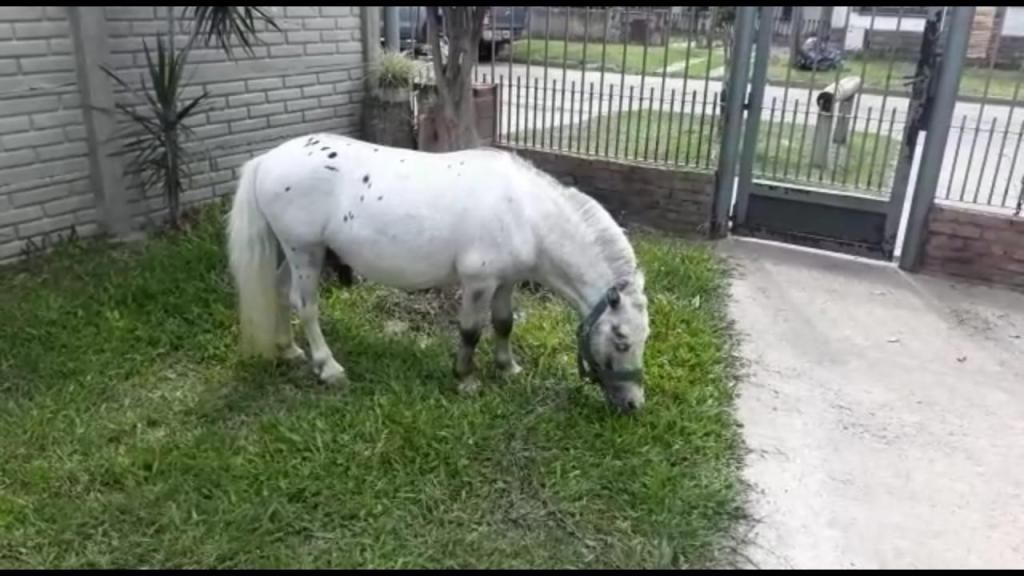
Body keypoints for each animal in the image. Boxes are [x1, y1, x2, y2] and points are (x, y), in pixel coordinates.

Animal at [228, 133, 651, 412]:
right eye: (621, 339)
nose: (634, 403)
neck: (526, 213)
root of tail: (268, 159)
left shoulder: (506, 281)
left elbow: (504, 323)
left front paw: (508, 368)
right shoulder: (478, 282)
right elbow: (471, 330)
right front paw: (466, 378)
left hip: (294, 253)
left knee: (280, 292)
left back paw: (288, 350)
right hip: (306, 252)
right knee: (306, 307)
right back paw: (327, 367)